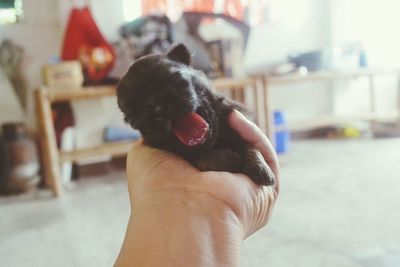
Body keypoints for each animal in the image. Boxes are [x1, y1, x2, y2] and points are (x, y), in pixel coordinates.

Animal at [116, 44, 276, 186]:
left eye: (176, 79)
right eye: (133, 118)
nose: (159, 109)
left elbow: (249, 146)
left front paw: (260, 168)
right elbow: (198, 157)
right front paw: (228, 160)